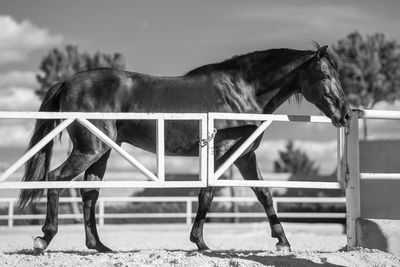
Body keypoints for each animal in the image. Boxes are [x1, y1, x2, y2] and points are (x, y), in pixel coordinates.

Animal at [18, 44, 350, 253]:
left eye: (337, 75)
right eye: (325, 75)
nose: (345, 115)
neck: (242, 90)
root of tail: (67, 82)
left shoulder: (244, 155)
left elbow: (264, 194)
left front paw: (282, 241)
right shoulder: (221, 151)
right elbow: (208, 193)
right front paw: (200, 242)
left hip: (102, 152)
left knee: (89, 194)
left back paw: (99, 247)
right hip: (91, 150)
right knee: (56, 180)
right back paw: (44, 238)